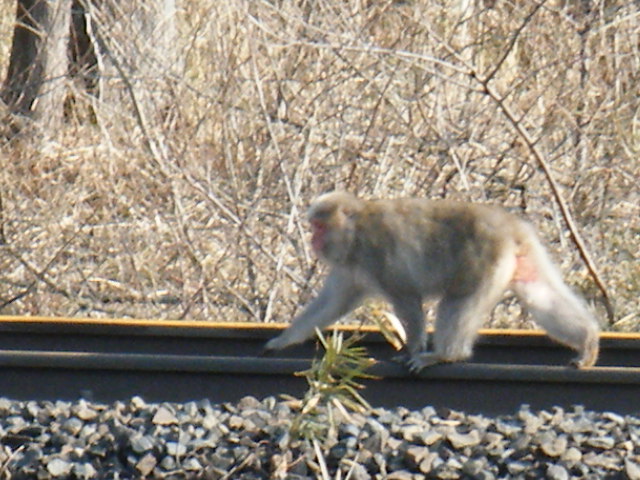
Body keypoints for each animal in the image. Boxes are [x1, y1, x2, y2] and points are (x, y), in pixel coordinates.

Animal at [264, 191, 600, 372]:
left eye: (319, 226)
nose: (313, 240)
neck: (355, 232)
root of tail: (510, 226)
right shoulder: (349, 265)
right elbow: (332, 303)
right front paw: (282, 341)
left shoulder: (376, 253)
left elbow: (406, 297)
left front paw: (412, 351)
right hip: (522, 258)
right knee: (539, 295)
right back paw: (588, 342)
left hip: (484, 260)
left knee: (459, 301)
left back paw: (446, 355)